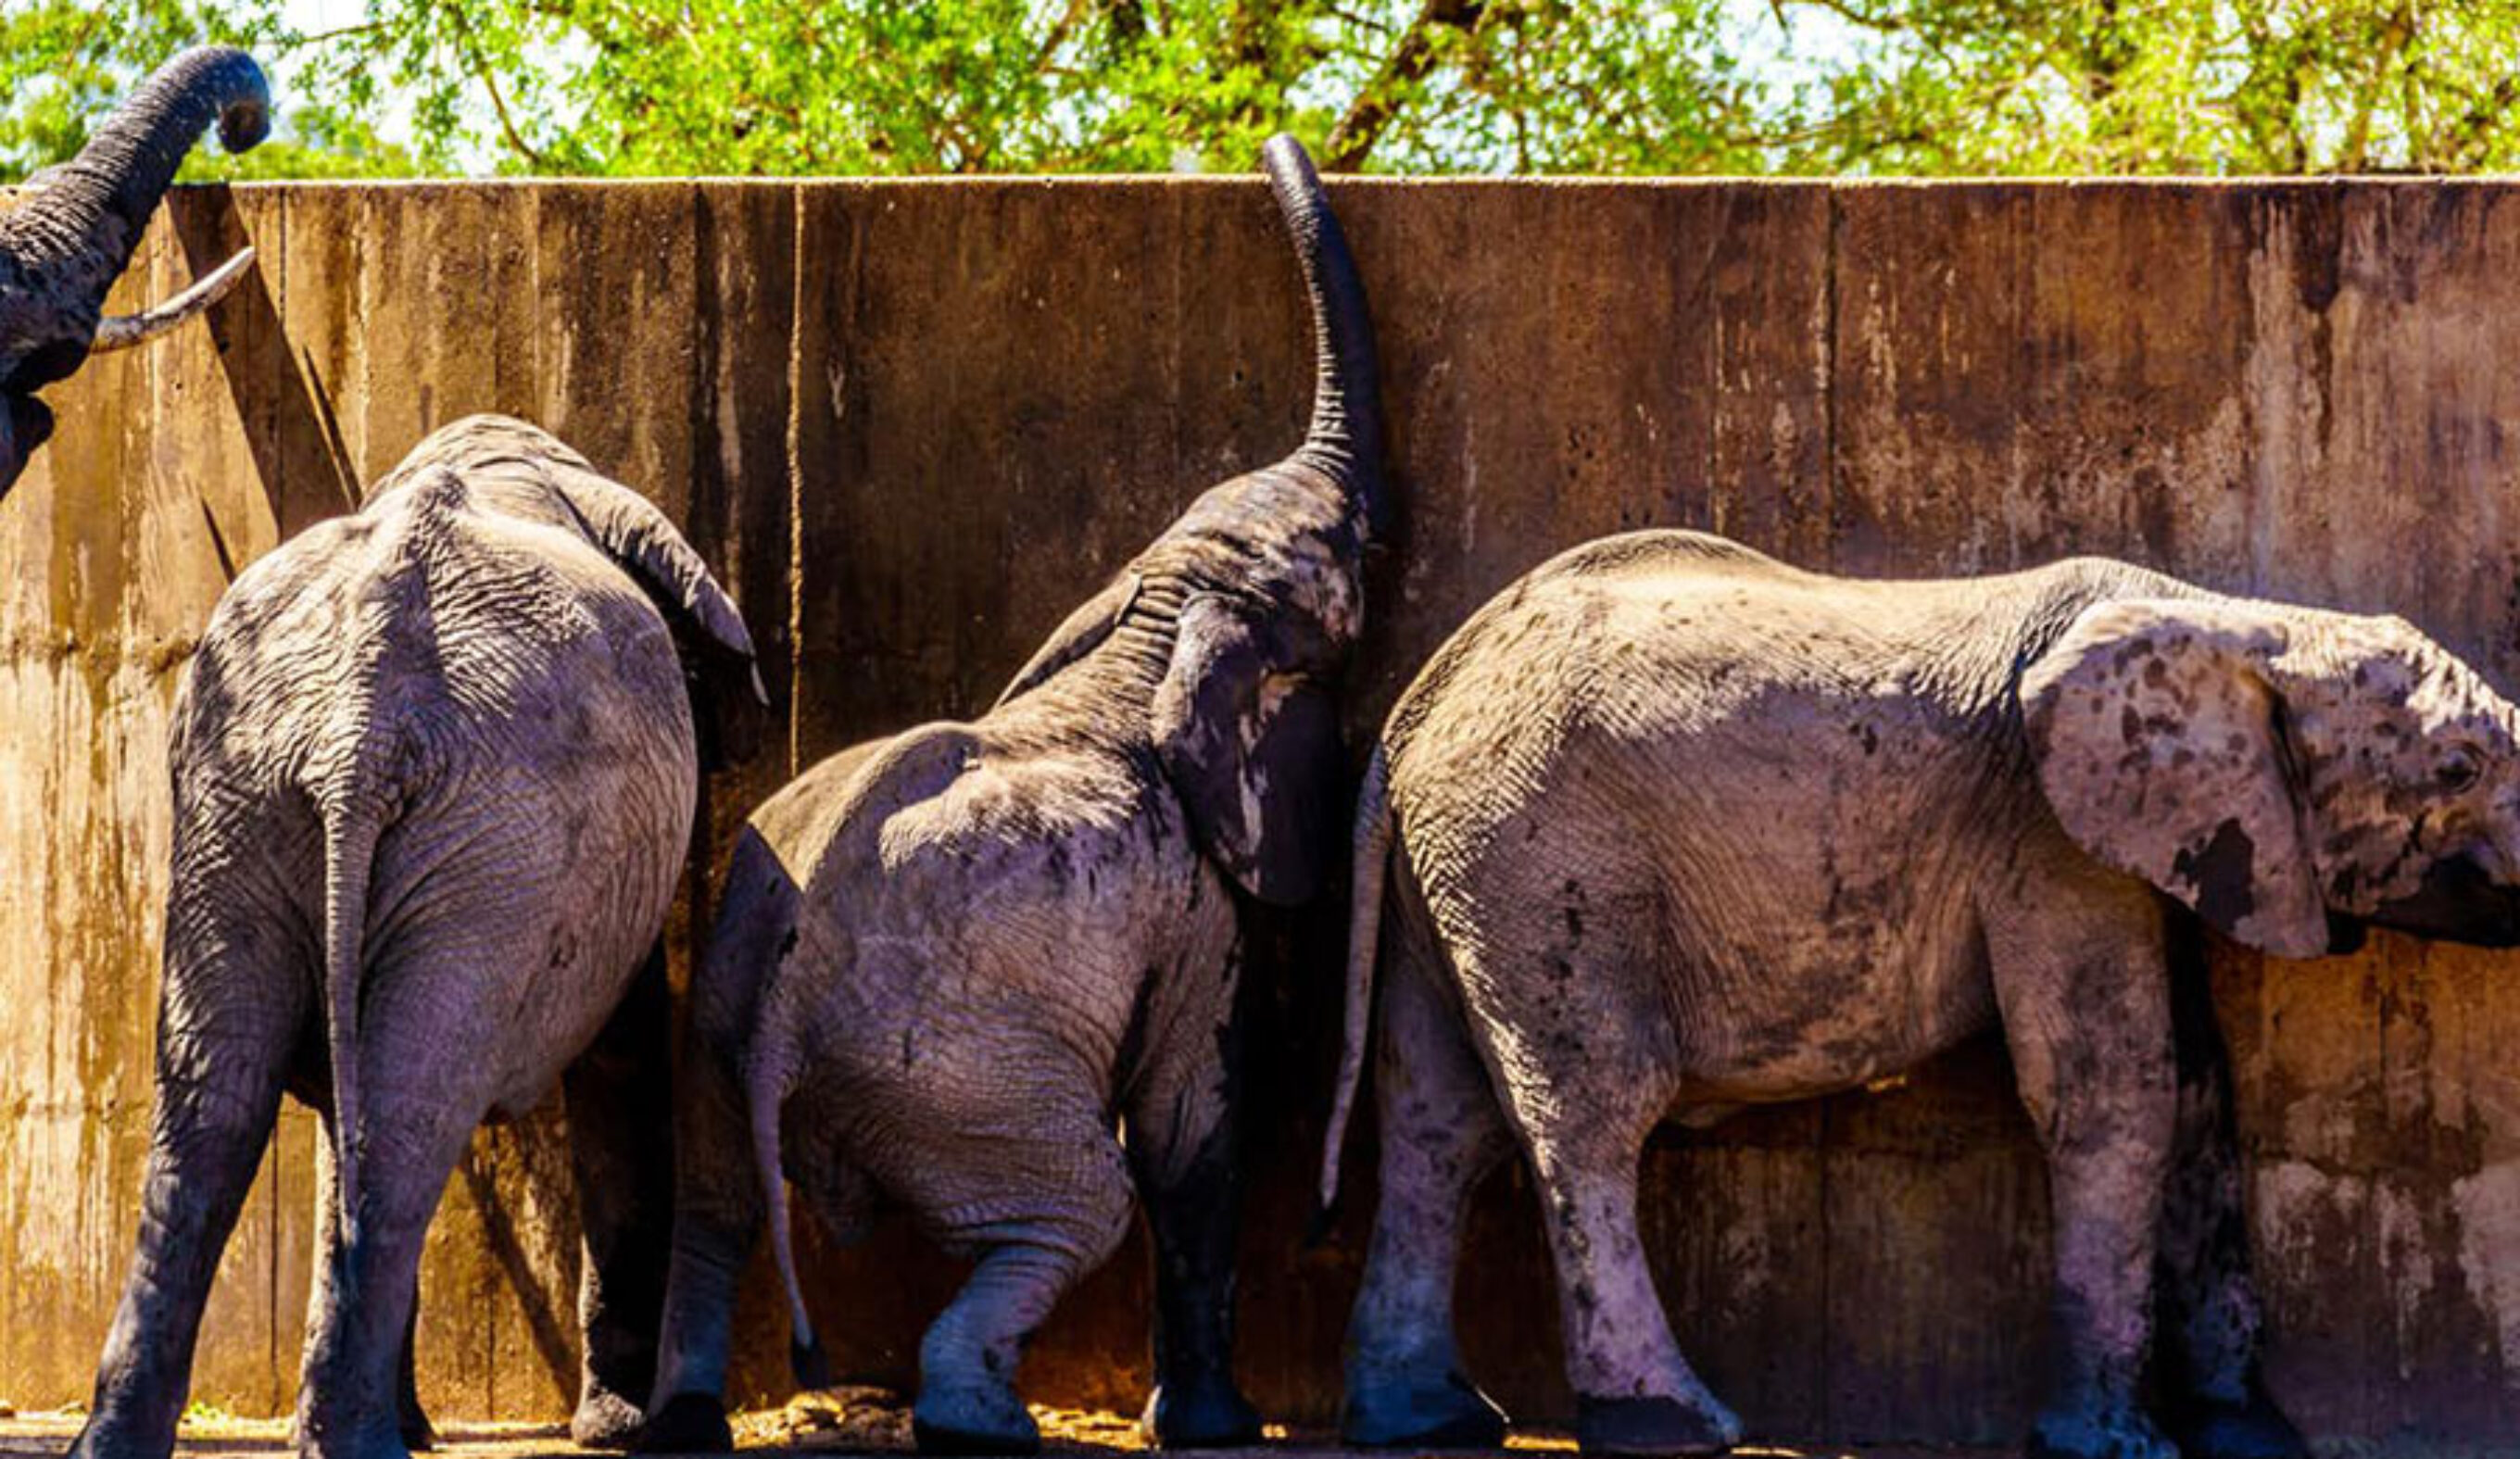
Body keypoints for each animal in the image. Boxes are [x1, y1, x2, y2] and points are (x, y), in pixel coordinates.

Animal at [71, 414, 764, 1459]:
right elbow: (622, 1060)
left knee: (219, 1106)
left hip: (244, 801)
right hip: (494, 828)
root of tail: (361, 716)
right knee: (406, 1111)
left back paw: (147, 1441)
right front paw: (619, 1428)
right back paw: (362, 1441)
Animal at [630, 133, 1386, 1457]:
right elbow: (1191, 1124)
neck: (1152, 624)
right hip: (956, 1072)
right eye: (1349, 550)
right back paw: (979, 1420)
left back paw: (689, 1424)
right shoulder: (1191, 899)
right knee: (1082, 1202)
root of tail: (778, 1027)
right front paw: (1218, 1430)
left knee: (711, 1208)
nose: (1269, 151)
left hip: (720, 1034)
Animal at [1317, 533, 2520, 1459]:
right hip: (1542, 860)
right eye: (2456, 771)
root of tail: (1413, 708)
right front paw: (2113, 1448)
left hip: (1458, 876)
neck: (2234, 623)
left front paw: (2251, 1439)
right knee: (1591, 1110)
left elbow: (2192, 1088)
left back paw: (1428, 1423)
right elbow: (2108, 1095)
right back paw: (1669, 1424)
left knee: (1434, 1123)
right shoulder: (2046, 836)